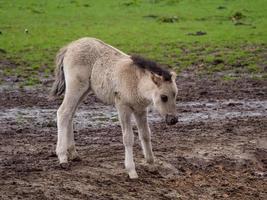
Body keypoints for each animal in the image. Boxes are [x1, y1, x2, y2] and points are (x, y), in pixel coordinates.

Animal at [51, 37, 179, 178]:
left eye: (175, 94)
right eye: (163, 97)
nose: (173, 120)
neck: (136, 82)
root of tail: (70, 46)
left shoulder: (140, 110)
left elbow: (145, 134)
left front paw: (151, 165)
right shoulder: (123, 107)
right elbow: (128, 138)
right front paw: (131, 171)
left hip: (84, 90)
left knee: (70, 114)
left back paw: (73, 153)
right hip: (75, 87)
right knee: (63, 113)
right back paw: (62, 158)